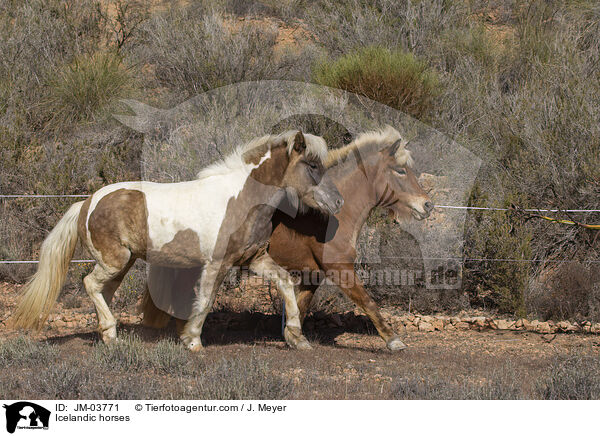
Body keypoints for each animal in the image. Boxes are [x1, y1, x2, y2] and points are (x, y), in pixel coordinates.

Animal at [10, 130, 342, 350]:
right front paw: (192, 341)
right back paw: (110, 332)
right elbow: (205, 300)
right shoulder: (217, 263)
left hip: (122, 264)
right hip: (114, 260)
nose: (338, 201)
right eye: (313, 166)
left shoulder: (254, 258)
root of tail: (87, 202)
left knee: (103, 291)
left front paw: (298, 338)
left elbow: (286, 282)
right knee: (90, 284)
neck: (243, 199)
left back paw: (107, 335)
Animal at [141, 126, 432, 350]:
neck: (326, 217)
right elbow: (369, 302)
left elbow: (299, 306)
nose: (427, 205)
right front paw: (394, 341)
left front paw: (293, 338)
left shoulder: (312, 275)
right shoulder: (340, 269)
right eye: (400, 170)